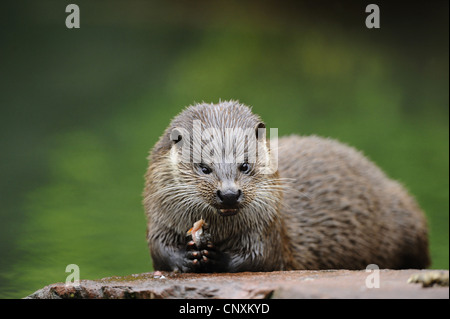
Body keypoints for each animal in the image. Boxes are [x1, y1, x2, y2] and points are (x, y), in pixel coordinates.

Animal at [143, 100, 428, 272]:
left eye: (244, 165)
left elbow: (262, 257)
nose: (229, 193)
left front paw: (217, 258)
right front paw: (186, 257)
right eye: (204, 167)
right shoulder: (159, 219)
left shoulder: (267, 227)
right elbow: (158, 249)